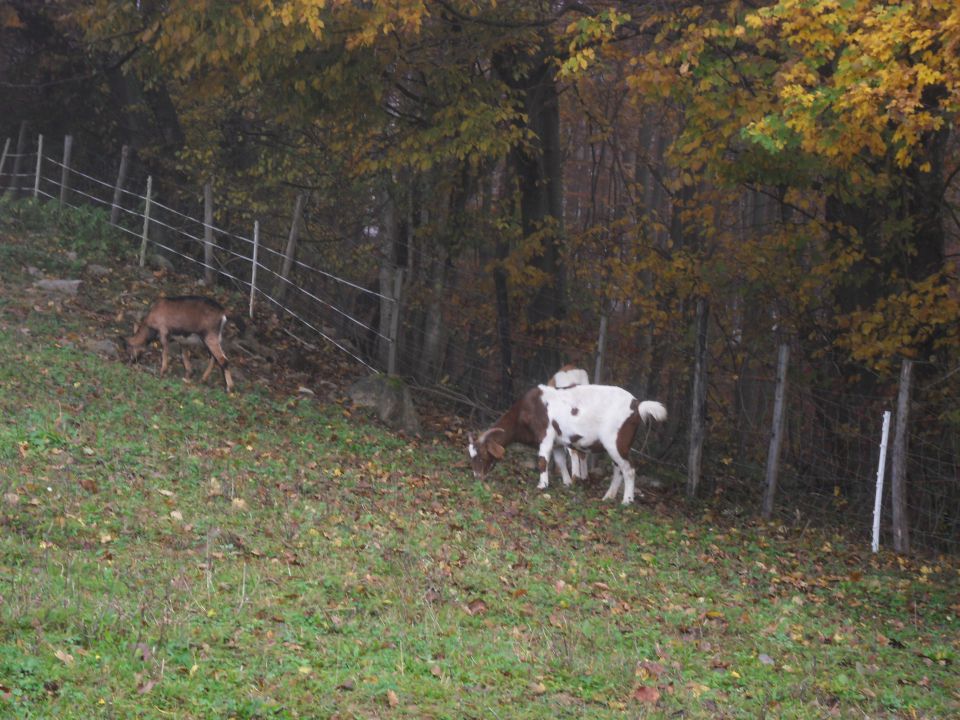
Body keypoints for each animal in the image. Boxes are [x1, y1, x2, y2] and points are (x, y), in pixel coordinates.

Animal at [466, 386, 668, 504]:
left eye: (482, 455)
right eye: (471, 457)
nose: (477, 477)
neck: (527, 410)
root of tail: (637, 405)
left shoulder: (546, 434)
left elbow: (543, 460)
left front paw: (542, 485)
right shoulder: (558, 442)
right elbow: (561, 461)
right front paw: (567, 482)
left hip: (616, 442)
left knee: (629, 469)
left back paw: (626, 500)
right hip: (617, 446)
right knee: (618, 468)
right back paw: (608, 496)